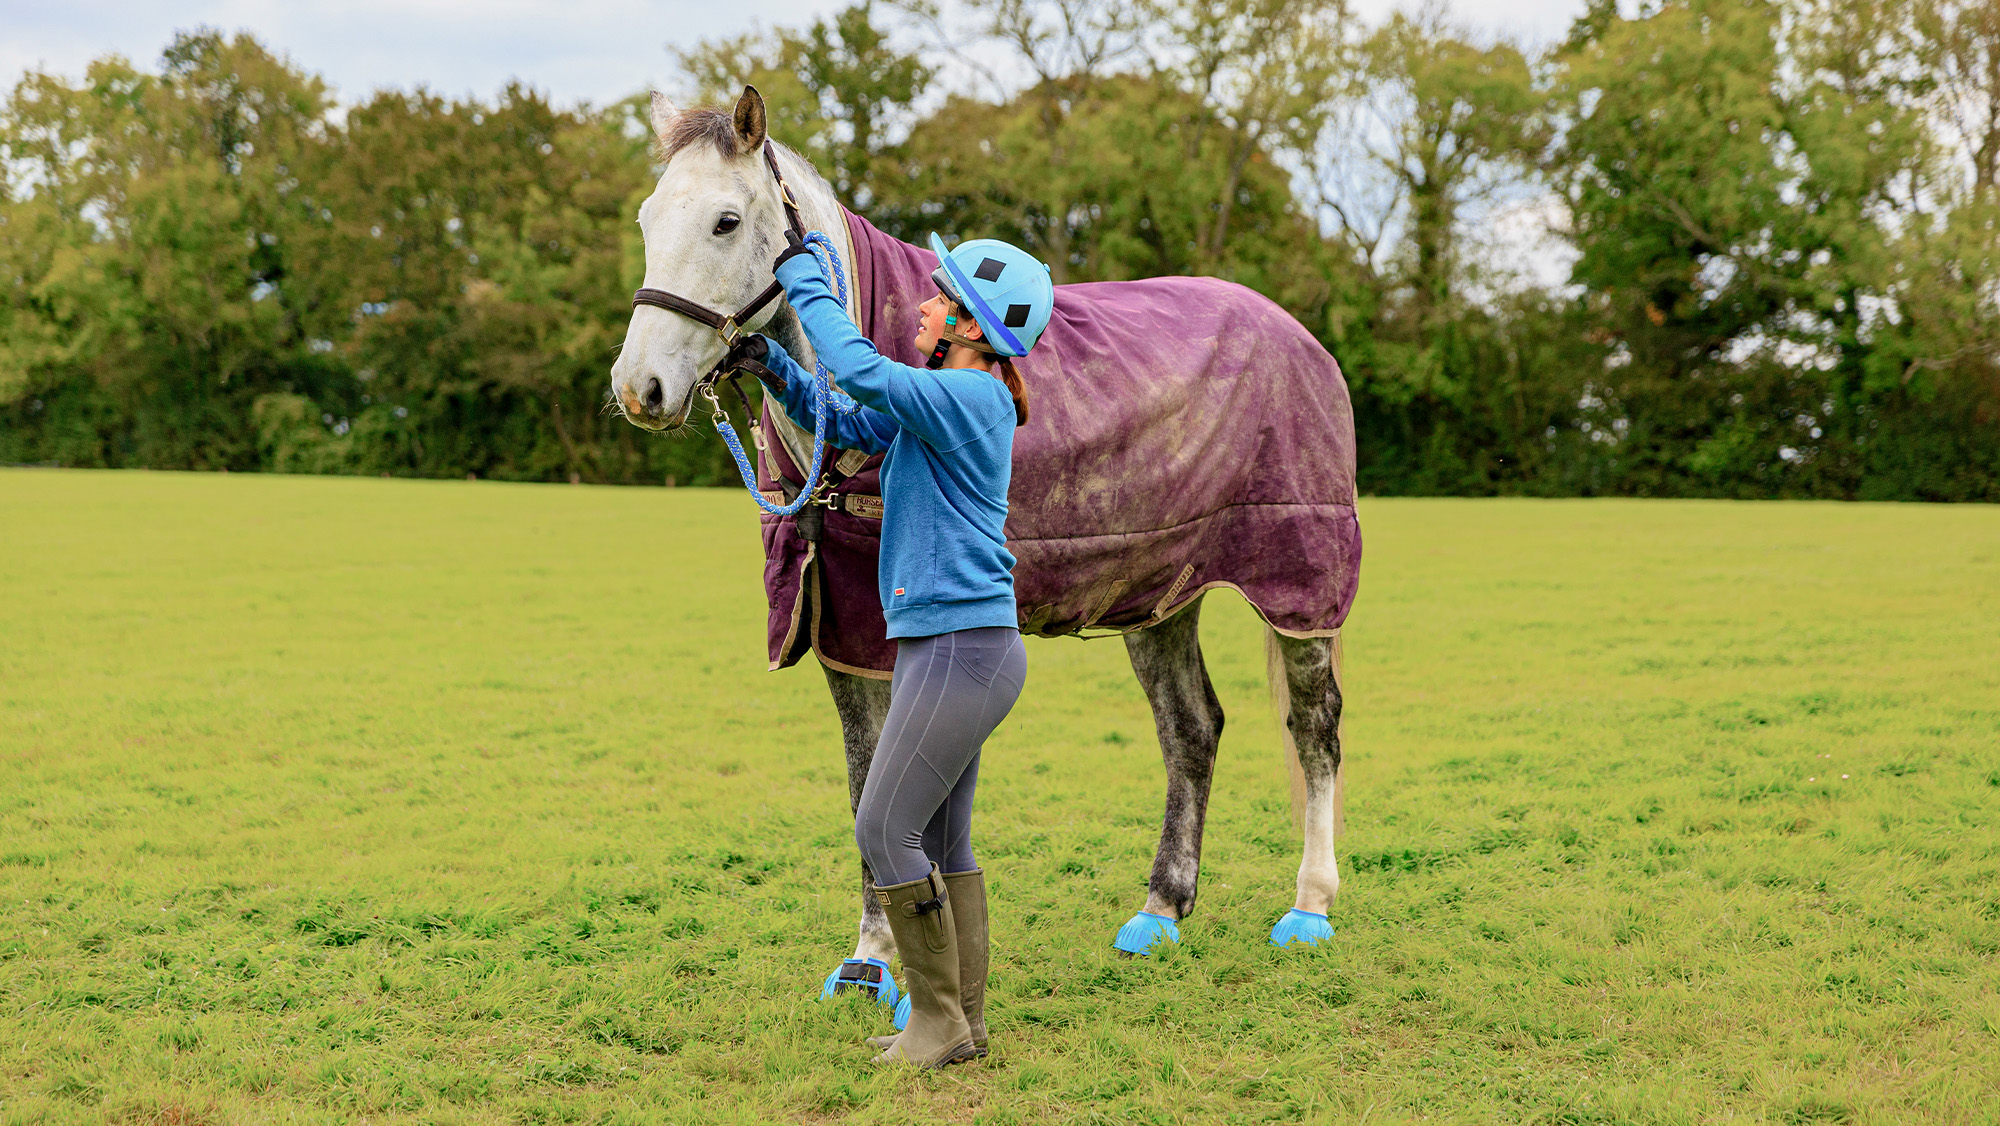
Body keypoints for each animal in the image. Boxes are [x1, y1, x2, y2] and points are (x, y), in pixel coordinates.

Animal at [610, 86, 1360, 991]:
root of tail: (1302, 338)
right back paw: (1161, 908)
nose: (639, 388)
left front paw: (894, 953)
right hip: (1159, 593)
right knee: (1191, 729)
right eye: (648, 218)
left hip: (1301, 581)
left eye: (725, 221)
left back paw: (1310, 906)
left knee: (1314, 726)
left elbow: (892, 784)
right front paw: (870, 960)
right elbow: (866, 782)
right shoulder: (840, 630)